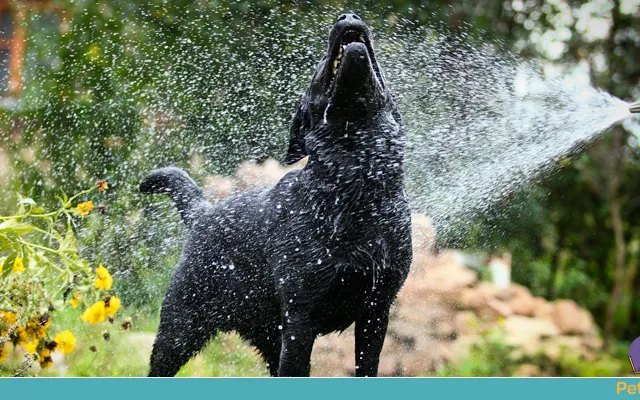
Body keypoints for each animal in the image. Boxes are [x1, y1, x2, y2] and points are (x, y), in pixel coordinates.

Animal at [139, 12, 410, 376]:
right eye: (320, 62)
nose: (348, 15)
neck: (355, 187)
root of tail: (202, 213)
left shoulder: (376, 311)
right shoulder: (300, 317)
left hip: (267, 335)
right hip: (180, 330)